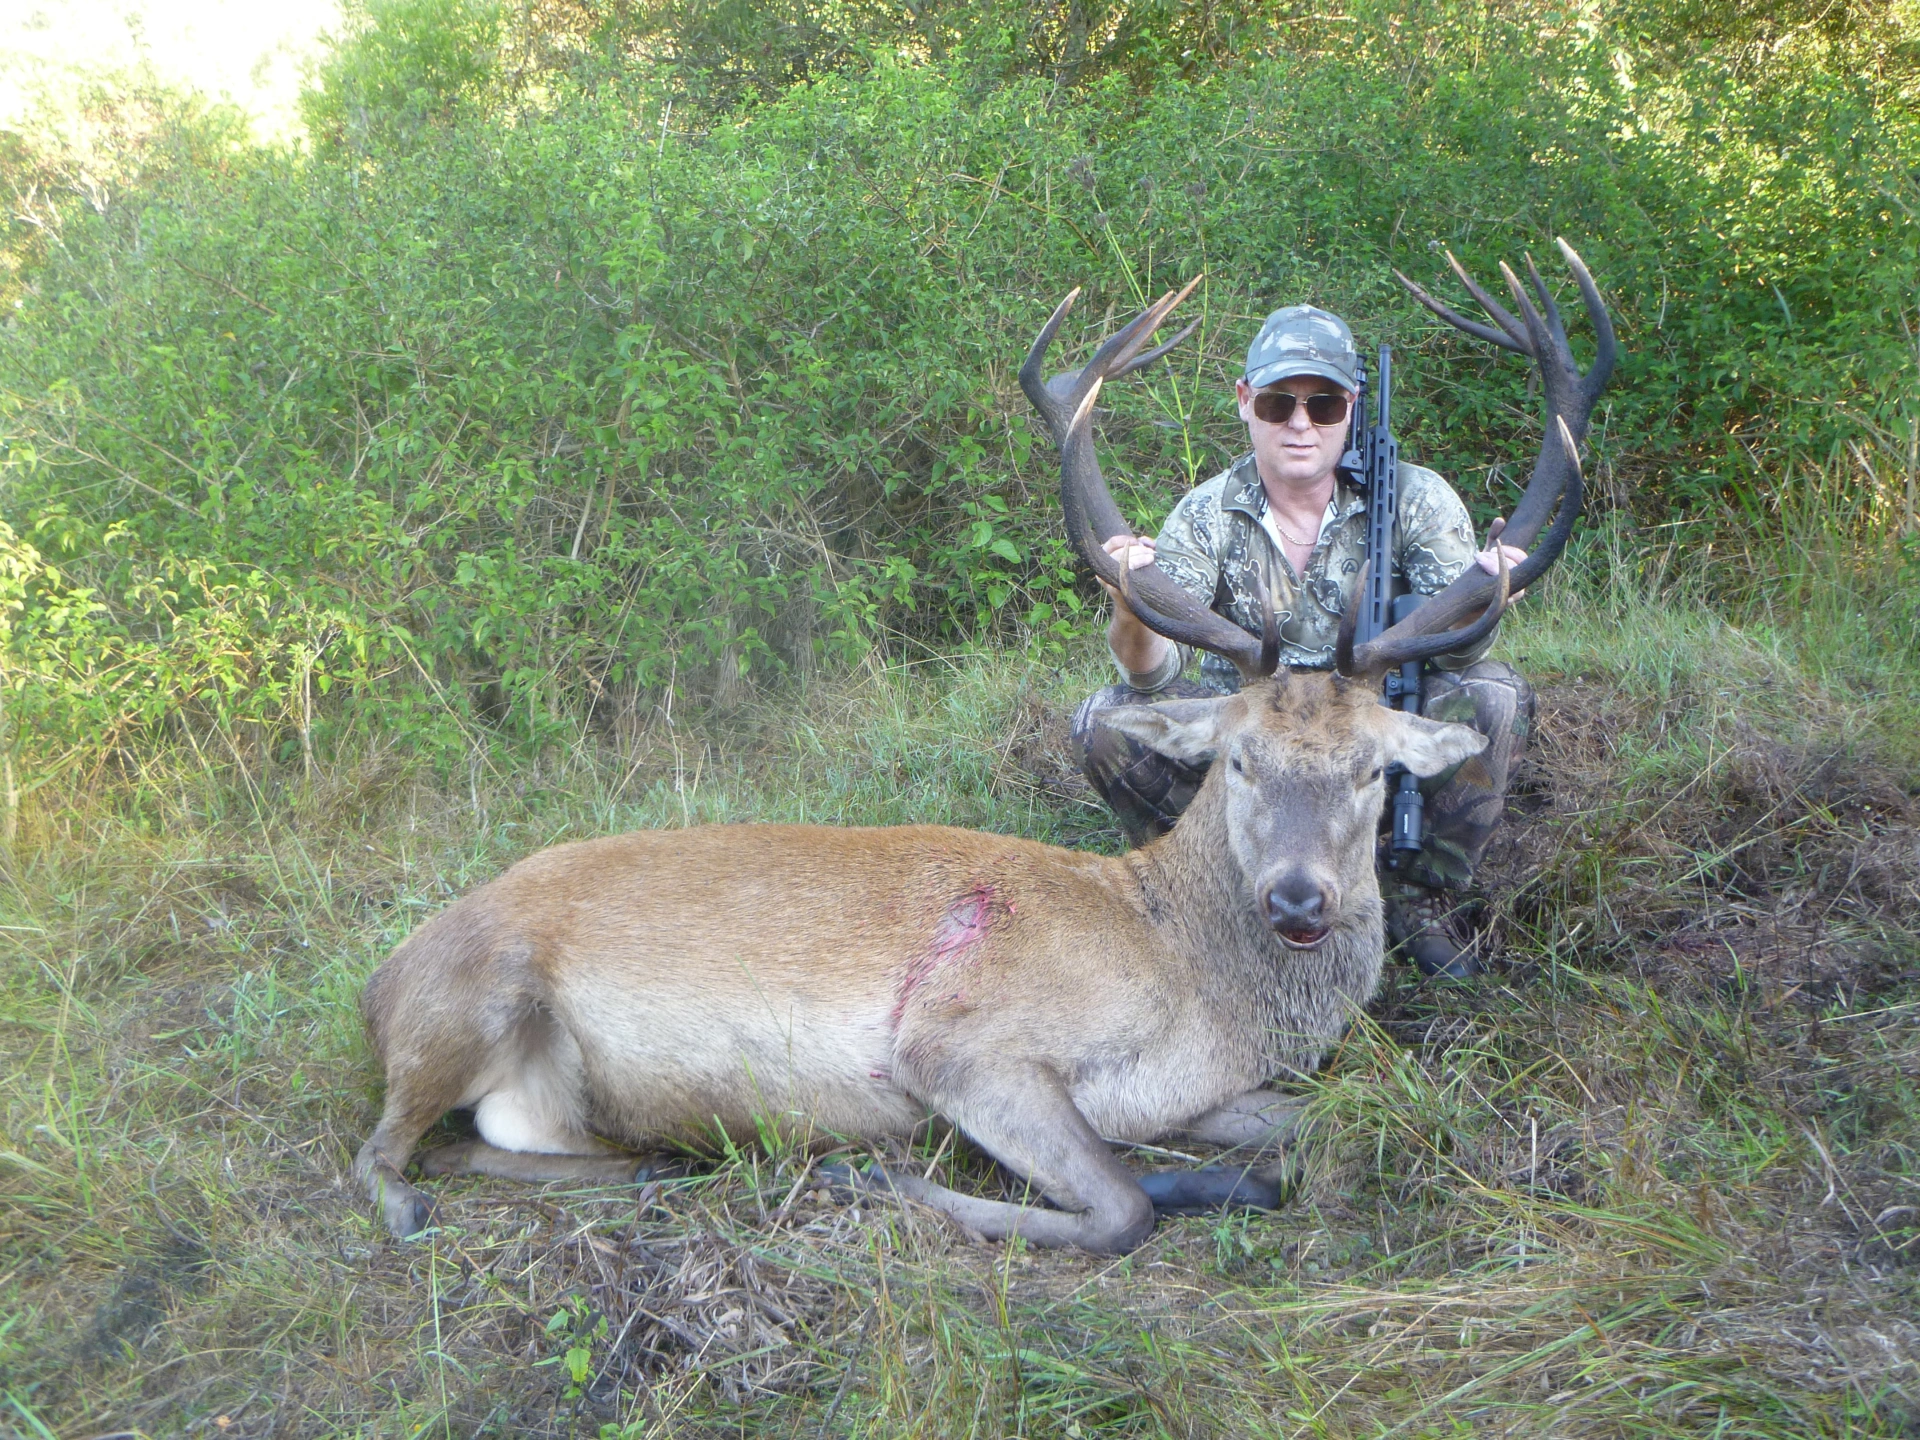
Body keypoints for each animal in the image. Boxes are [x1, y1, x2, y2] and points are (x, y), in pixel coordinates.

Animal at [352, 242, 1615, 1252]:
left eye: (1372, 769)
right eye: (1240, 760)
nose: (1300, 899)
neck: (1192, 985)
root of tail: (380, 977)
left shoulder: (1196, 1089)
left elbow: (1325, 1127)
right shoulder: (960, 1040)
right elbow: (1120, 1207)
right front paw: (899, 1184)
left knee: (484, 1143)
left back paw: (658, 1163)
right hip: (471, 999)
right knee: (384, 1151)